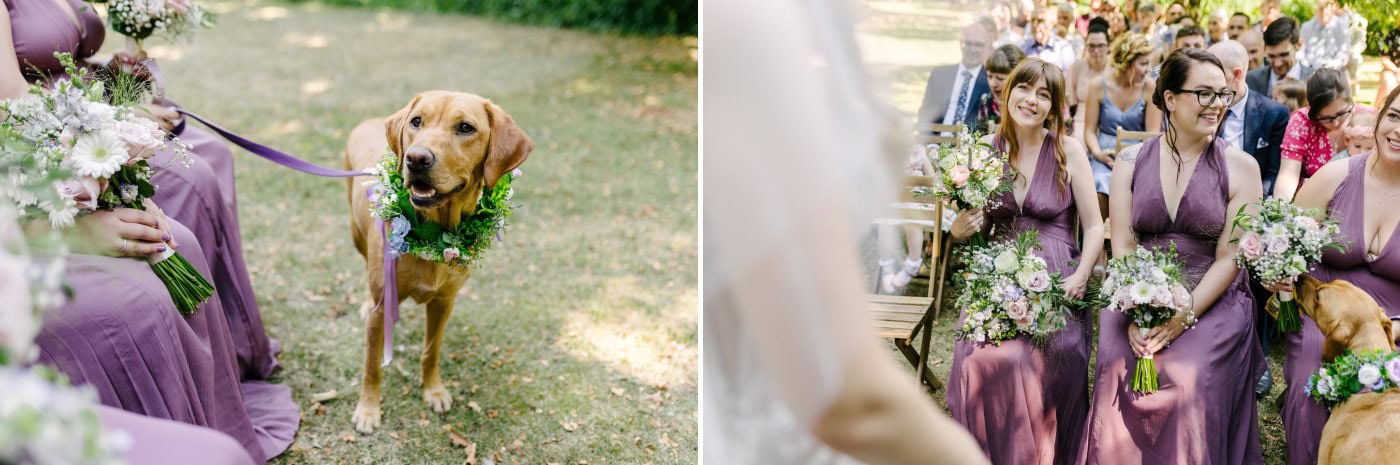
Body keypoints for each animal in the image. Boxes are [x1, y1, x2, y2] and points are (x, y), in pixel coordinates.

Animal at [343, 91, 529, 431]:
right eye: (416, 121)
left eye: (466, 127)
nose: (416, 159)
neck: (432, 231)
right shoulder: (382, 306)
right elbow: (372, 364)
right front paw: (368, 409)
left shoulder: (444, 302)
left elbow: (431, 351)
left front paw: (434, 391)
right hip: (356, 234)